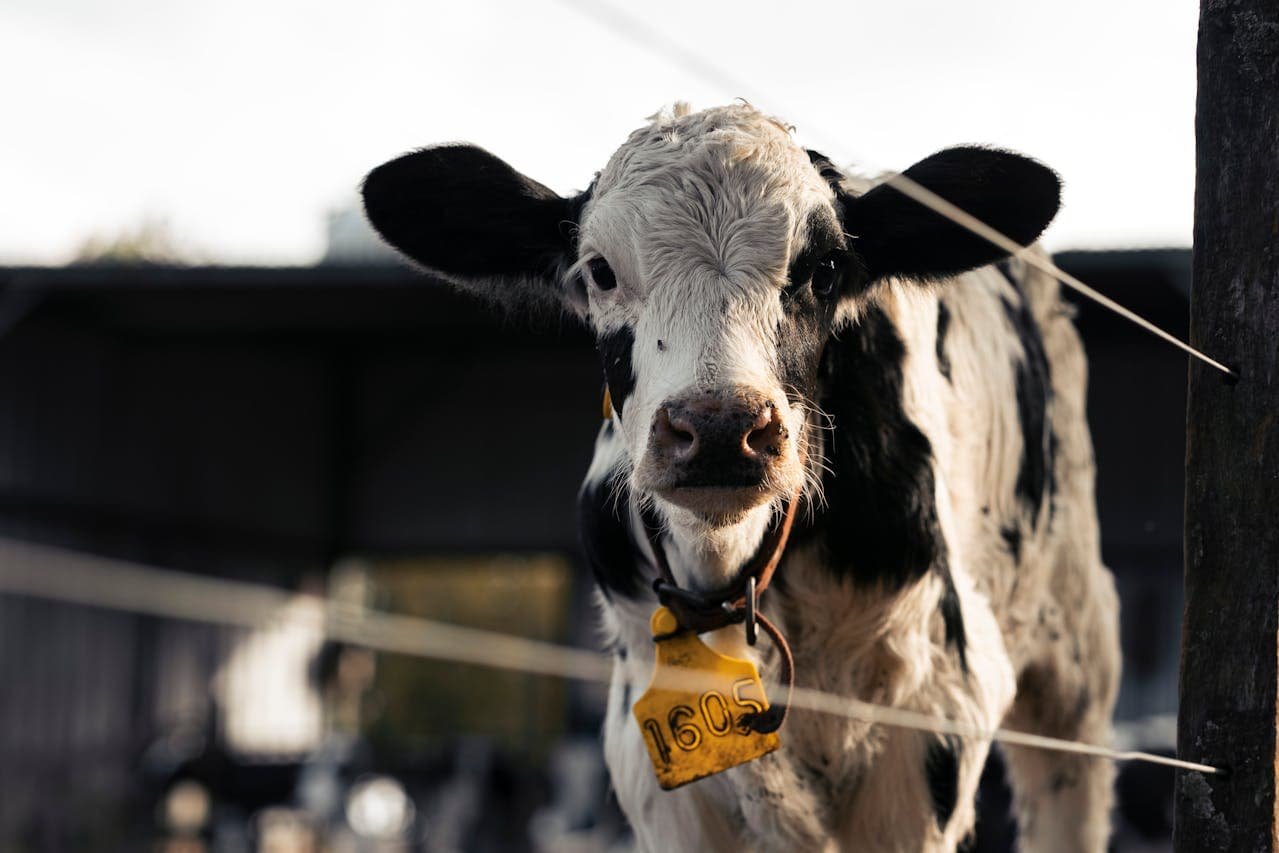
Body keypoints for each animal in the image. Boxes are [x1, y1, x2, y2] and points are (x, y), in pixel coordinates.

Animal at [363, 103, 1120, 849]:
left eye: (825, 268)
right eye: (600, 271)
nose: (721, 429)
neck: (725, 566)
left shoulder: (931, 721)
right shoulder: (655, 769)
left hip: (1074, 663)